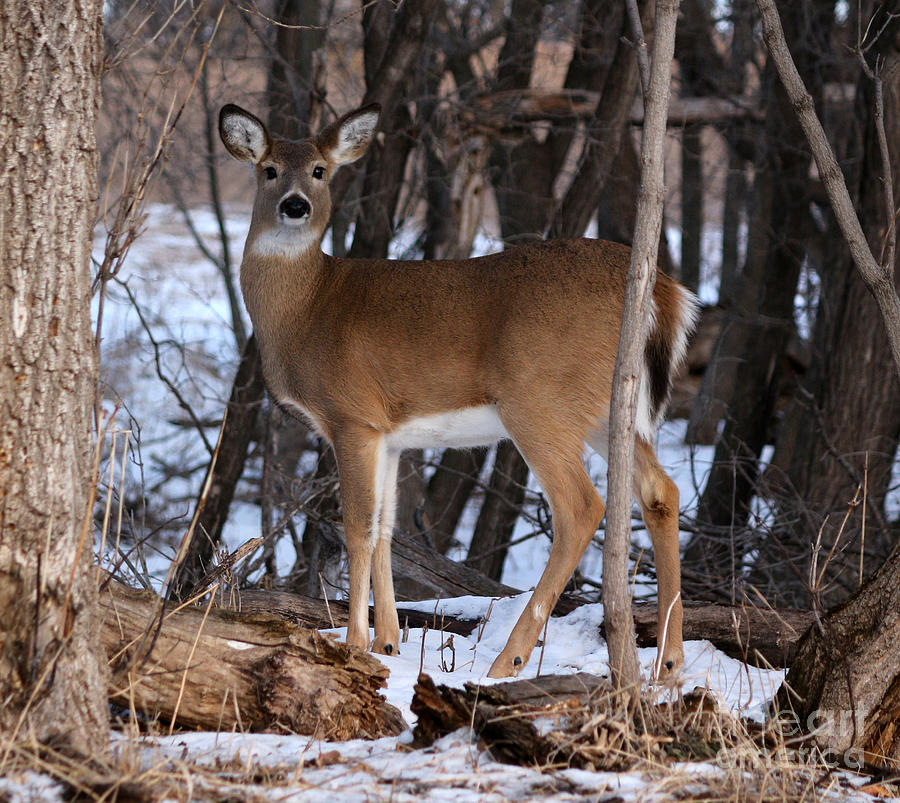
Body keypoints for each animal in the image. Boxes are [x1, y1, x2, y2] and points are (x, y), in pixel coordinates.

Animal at [221, 99, 700, 680]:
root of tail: (664, 292)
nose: (295, 205)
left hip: (539, 401)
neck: (307, 308)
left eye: (319, 170)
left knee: (581, 506)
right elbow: (386, 527)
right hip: (609, 409)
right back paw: (670, 661)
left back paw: (507, 661)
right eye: (269, 170)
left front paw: (355, 642)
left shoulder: (351, 415)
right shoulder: (389, 434)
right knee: (661, 492)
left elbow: (357, 526)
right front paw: (388, 644)